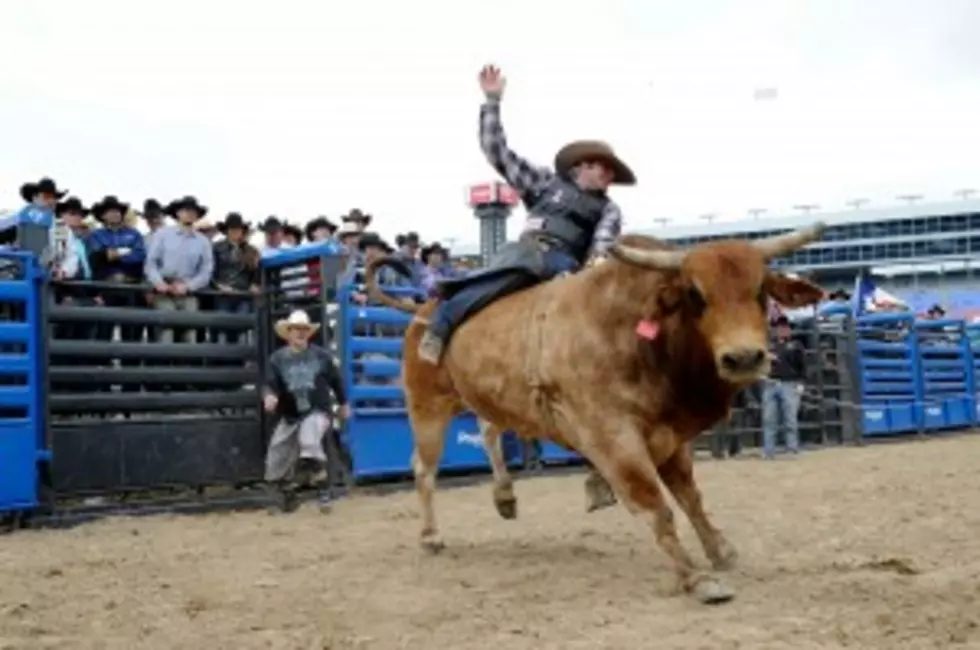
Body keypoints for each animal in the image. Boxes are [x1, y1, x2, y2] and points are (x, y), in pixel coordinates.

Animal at [368, 224, 828, 604]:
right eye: (695, 295)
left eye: (760, 290)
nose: (744, 357)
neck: (639, 336)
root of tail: (425, 309)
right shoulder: (615, 438)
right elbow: (655, 506)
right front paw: (695, 578)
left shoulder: (670, 437)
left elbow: (690, 498)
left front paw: (720, 550)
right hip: (427, 407)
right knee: (424, 469)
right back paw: (431, 536)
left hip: (488, 398)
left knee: (488, 432)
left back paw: (505, 495)